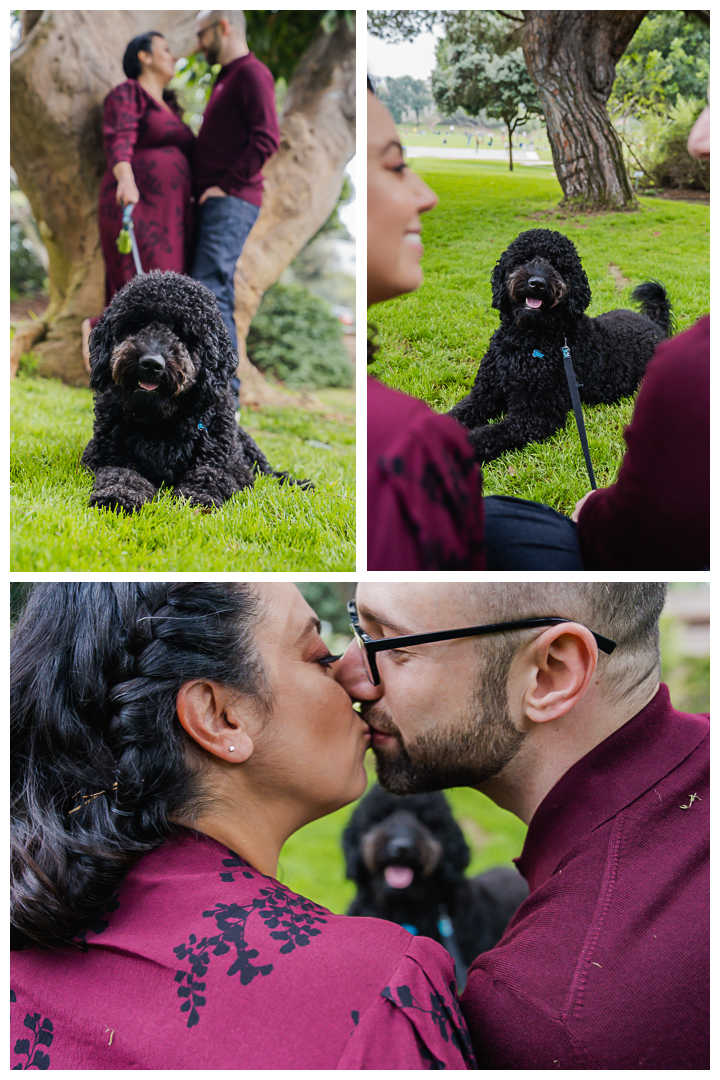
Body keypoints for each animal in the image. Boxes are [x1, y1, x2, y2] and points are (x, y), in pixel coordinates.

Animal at [80, 270, 306, 509]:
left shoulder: (229, 468)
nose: (151, 363)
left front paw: (198, 497)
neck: (160, 422)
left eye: (183, 332)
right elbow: (121, 473)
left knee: (271, 473)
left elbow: (208, 474)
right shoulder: (104, 457)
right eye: (138, 324)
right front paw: (118, 495)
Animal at [446, 225, 673, 462]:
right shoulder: (483, 394)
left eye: (556, 265)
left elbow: (492, 433)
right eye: (525, 259)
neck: (526, 342)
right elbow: (456, 414)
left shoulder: (538, 415)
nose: (537, 283)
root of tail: (653, 324)